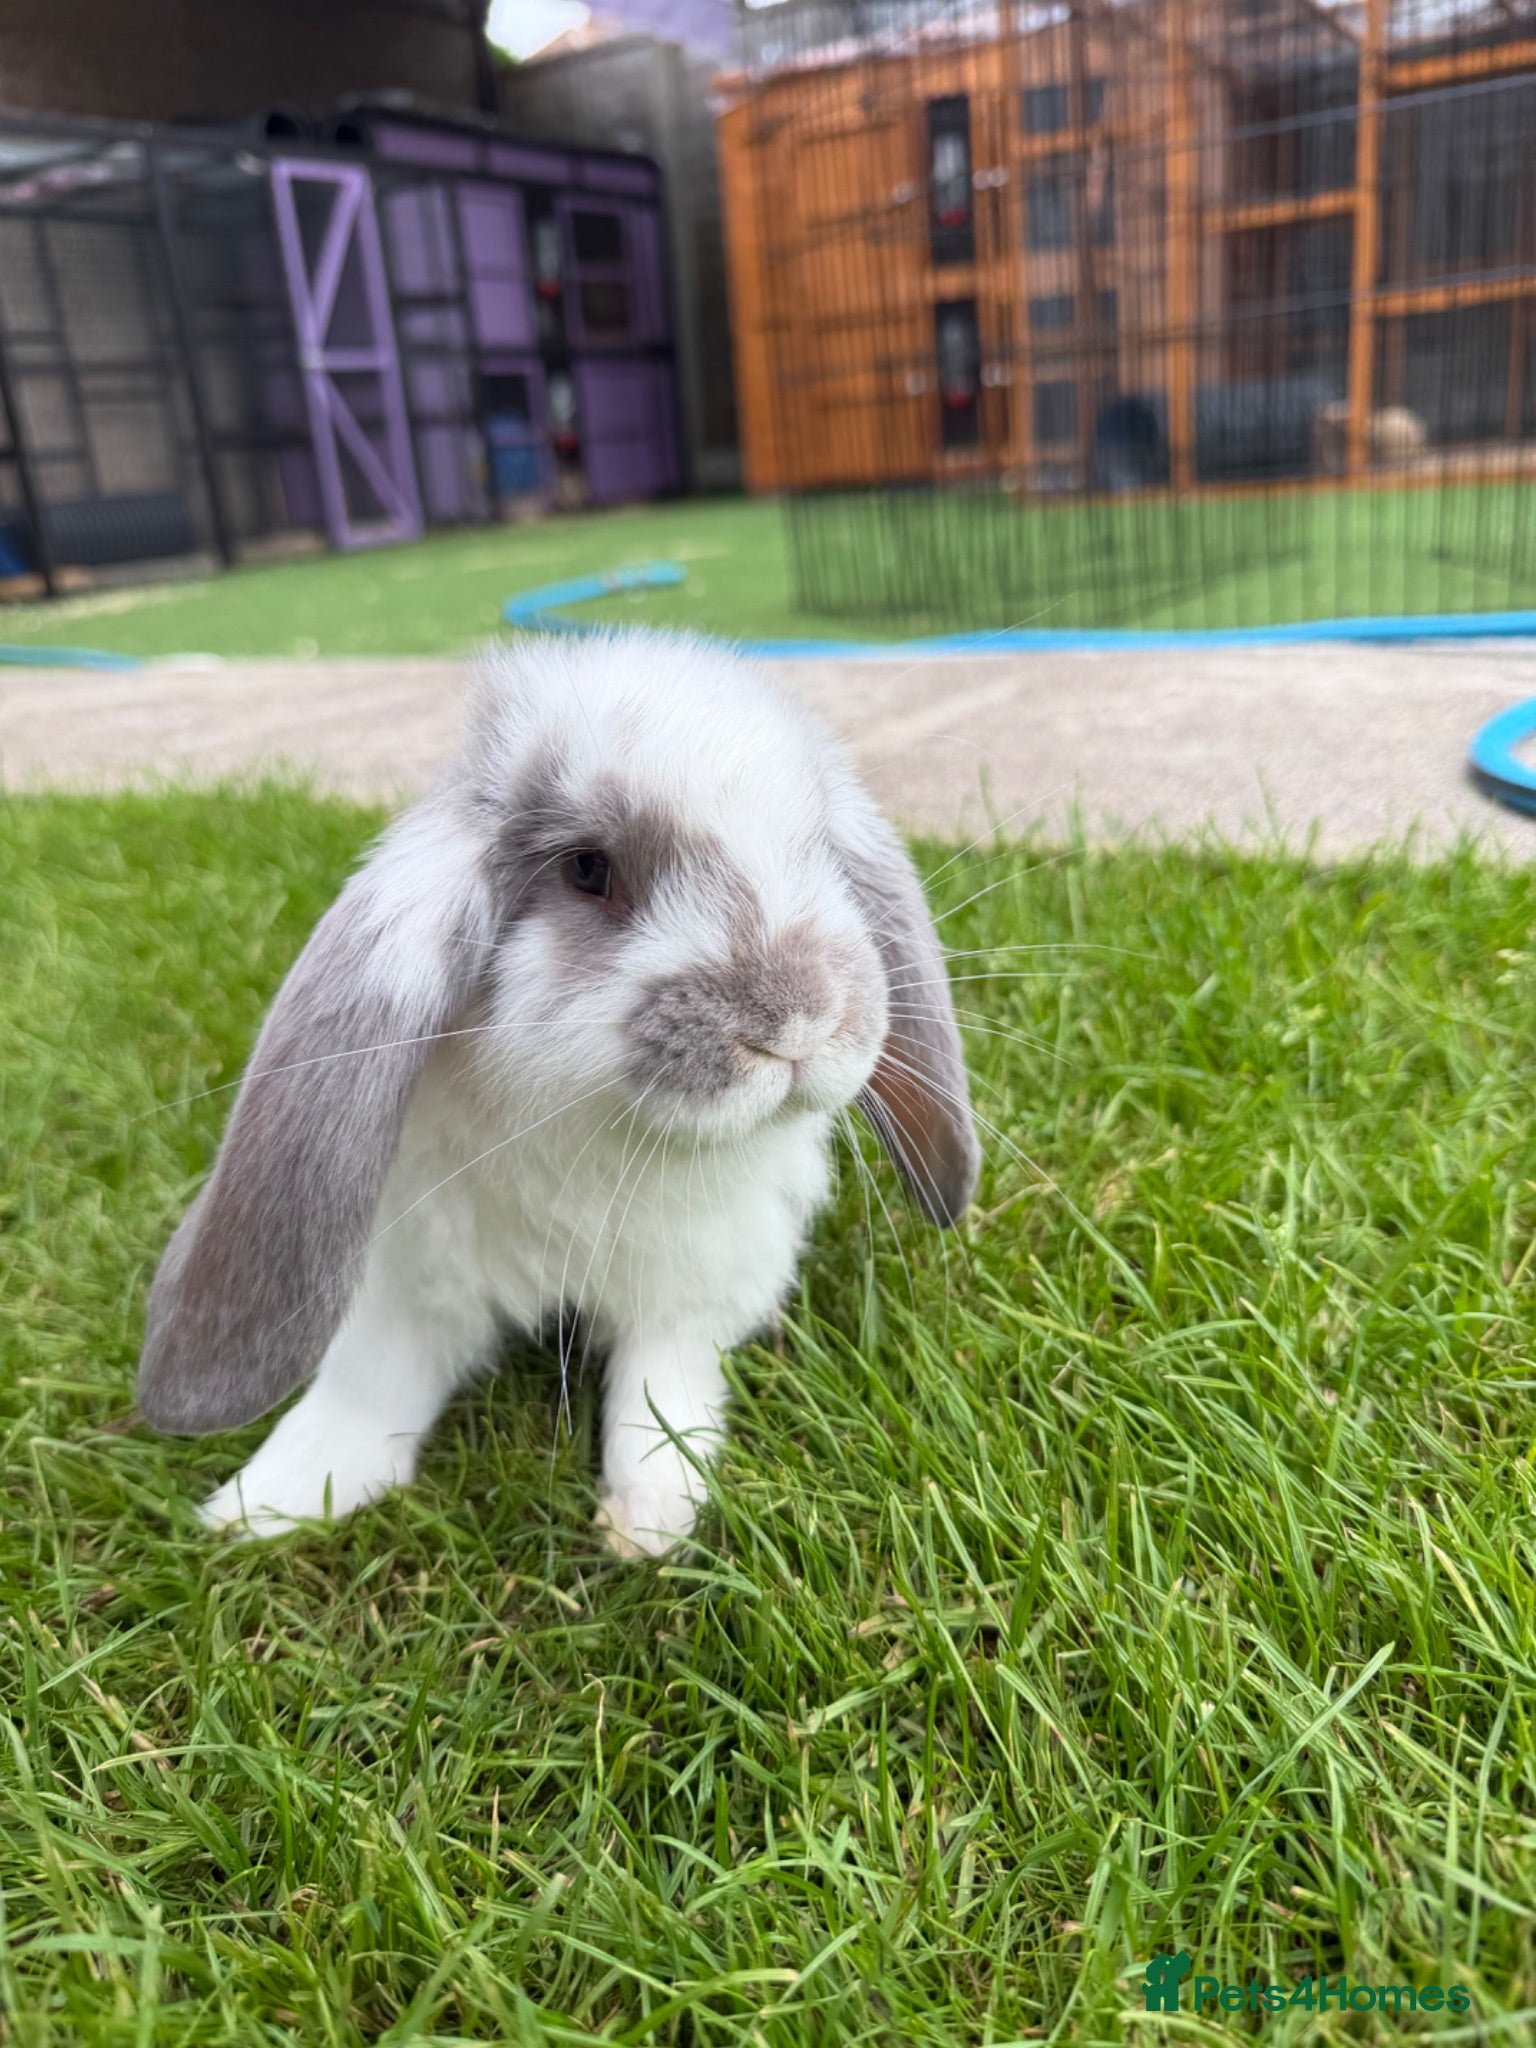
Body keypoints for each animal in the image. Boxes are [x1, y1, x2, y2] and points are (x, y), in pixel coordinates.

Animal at [136, 629, 980, 1558]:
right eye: (588, 869)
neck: (598, 1135)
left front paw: (650, 1521)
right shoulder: (410, 1282)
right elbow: (365, 1389)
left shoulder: (691, 1289)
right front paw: (262, 1505)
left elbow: (659, 1392)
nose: (797, 1021)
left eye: (822, 853)